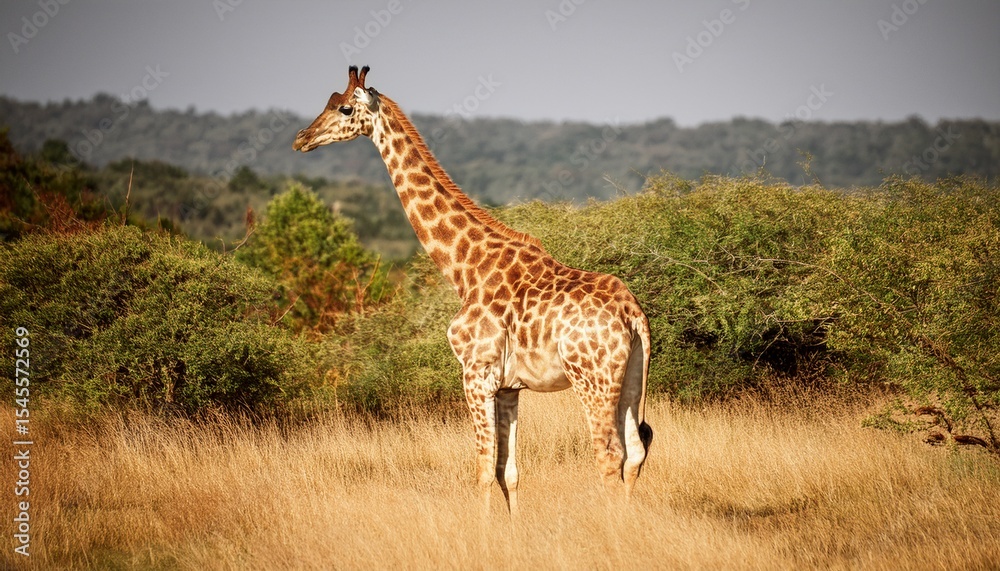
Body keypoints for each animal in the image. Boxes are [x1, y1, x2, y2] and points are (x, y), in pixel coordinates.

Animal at [293, 66, 653, 514]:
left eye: (344, 108)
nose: (301, 138)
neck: (464, 269)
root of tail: (633, 313)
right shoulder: (508, 387)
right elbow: (507, 471)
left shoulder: (474, 373)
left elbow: (481, 468)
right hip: (631, 376)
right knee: (636, 452)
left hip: (592, 378)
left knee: (609, 454)